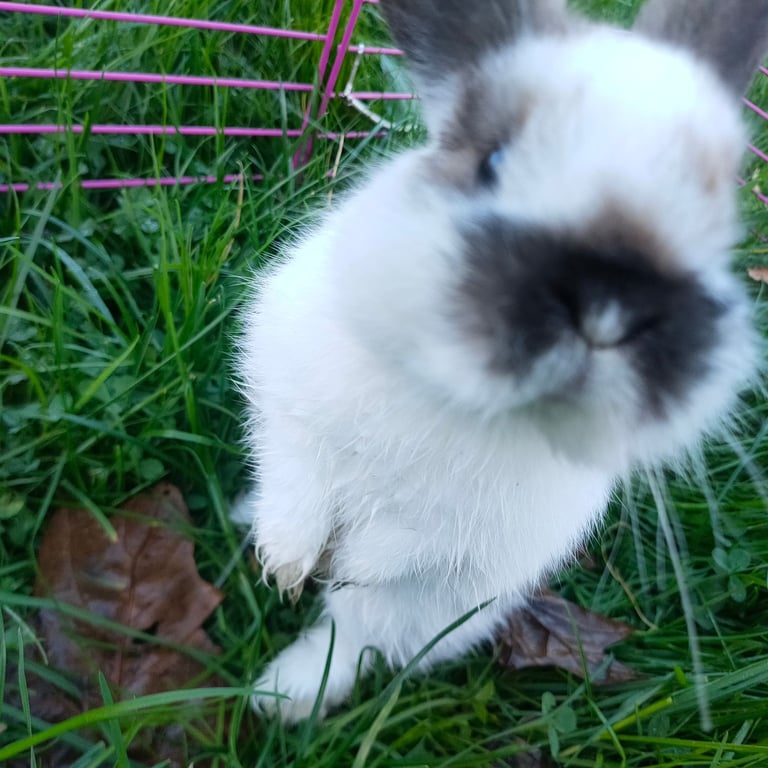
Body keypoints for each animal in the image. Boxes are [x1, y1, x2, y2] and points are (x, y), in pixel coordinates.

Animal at [237, 0, 766, 723]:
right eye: (492, 161)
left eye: (716, 222)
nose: (607, 310)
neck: (455, 397)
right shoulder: (287, 396)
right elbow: (296, 478)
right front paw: (286, 566)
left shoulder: (469, 532)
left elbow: (402, 547)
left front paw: (344, 564)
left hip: (434, 616)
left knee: (354, 637)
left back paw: (283, 694)